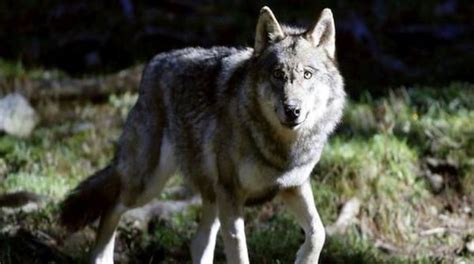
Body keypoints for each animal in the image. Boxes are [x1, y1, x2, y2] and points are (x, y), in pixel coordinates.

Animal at [61, 6, 346, 264]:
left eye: (307, 74)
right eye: (278, 74)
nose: (292, 110)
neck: (281, 150)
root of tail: (154, 63)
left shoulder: (293, 186)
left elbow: (318, 233)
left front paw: (304, 258)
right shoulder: (231, 194)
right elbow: (239, 252)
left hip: (208, 194)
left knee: (198, 242)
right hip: (147, 185)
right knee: (112, 205)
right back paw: (101, 258)